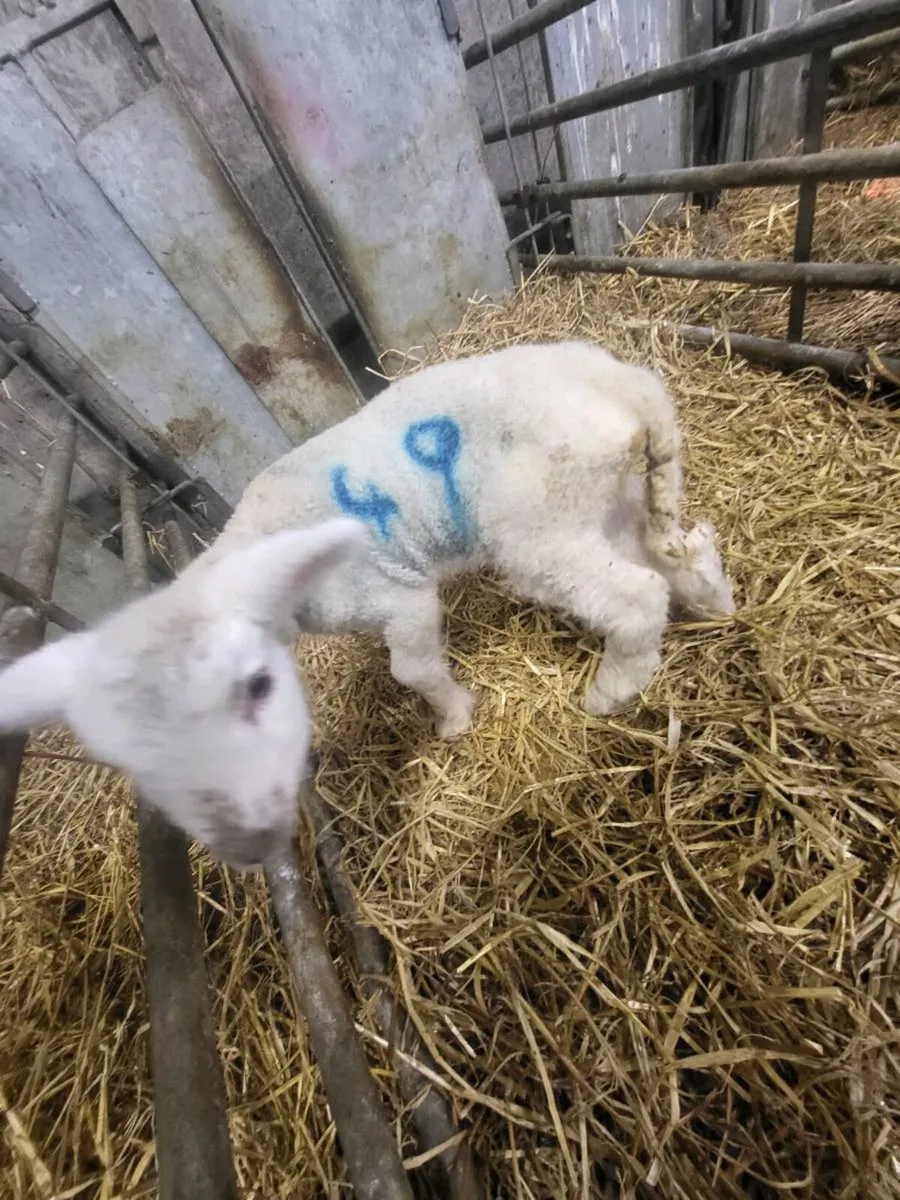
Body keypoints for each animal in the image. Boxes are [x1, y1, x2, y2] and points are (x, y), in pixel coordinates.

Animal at [0, 340, 734, 869]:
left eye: (255, 688)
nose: (246, 844)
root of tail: (623, 385)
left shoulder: (397, 595)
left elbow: (412, 668)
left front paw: (454, 719)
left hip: (541, 521)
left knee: (636, 592)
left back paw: (615, 688)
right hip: (611, 497)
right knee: (679, 549)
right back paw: (713, 606)